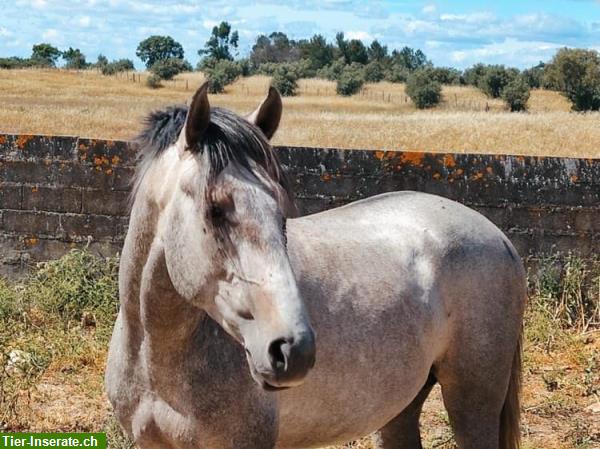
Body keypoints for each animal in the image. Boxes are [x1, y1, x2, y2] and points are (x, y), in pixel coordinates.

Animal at [106, 83, 524, 448]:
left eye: (281, 211)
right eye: (215, 210)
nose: (294, 351)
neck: (154, 359)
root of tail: (499, 237)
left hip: (473, 399)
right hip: (402, 406)